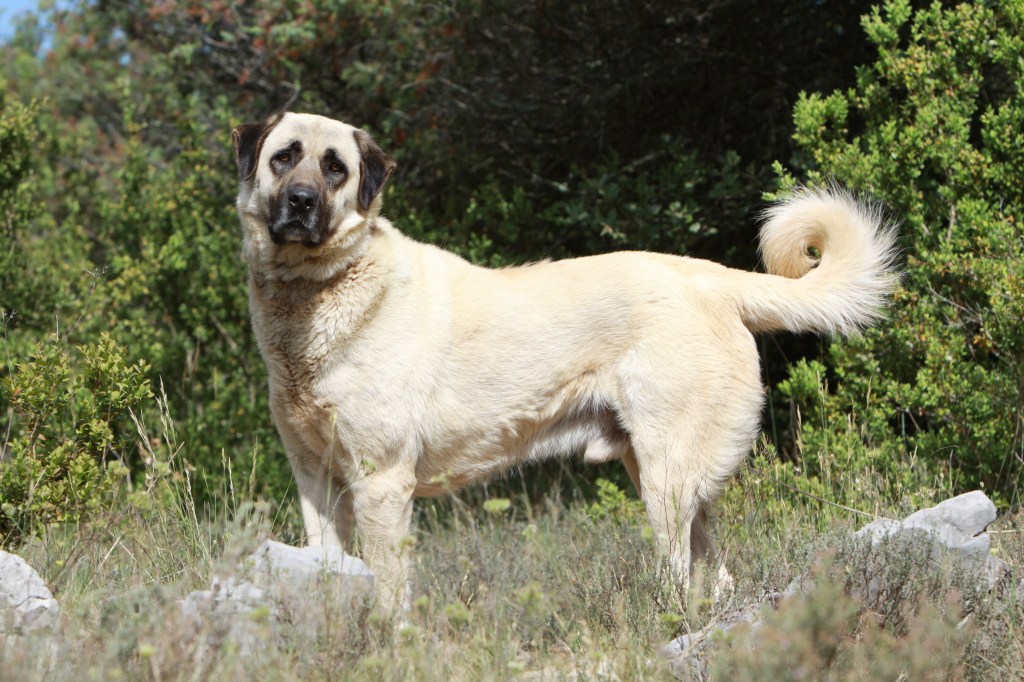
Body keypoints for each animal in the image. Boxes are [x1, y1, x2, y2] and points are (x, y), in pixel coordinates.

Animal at [230, 112, 897, 610]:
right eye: (285, 157)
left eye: (335, 167)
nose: (300, 201)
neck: (318, 292)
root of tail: (708, 276)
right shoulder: (316, 481)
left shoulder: (382, 482)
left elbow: (391, 587)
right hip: (660, 472)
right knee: (715, 571)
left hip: (666, 476)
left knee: (678, 568)